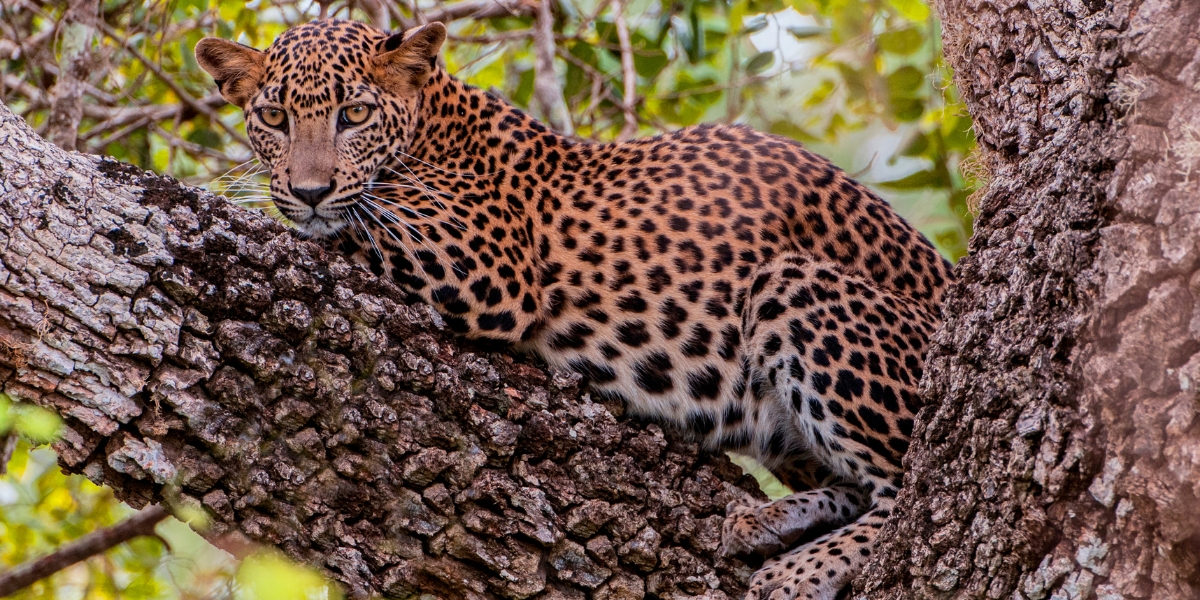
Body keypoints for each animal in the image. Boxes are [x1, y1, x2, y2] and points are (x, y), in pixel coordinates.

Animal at [194, 19, 945, 600]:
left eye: (354, 114)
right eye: (273, 117)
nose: (309, 189)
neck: (434, 121)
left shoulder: (484, 260)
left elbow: (352, 222)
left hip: (793, 282)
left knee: (908, 484)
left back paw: (798, 570)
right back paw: (767, 523)